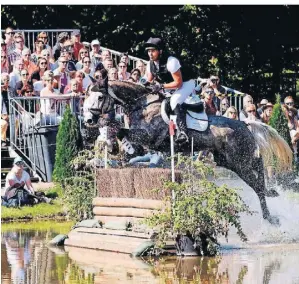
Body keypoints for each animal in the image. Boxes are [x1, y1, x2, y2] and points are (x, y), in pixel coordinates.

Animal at [83, 79, 294, 224]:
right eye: (86, 97)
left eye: (100, 97)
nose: (89, 120)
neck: (141, 105)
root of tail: (244, 123)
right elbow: (117, 129)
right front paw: (114, 146)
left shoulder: (149, 136)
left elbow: (120, 130)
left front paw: (120, 146)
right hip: (231, 161)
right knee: (258, 172)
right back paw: (271, 196)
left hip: (239, 161)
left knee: (257, 183)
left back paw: (270, 217)